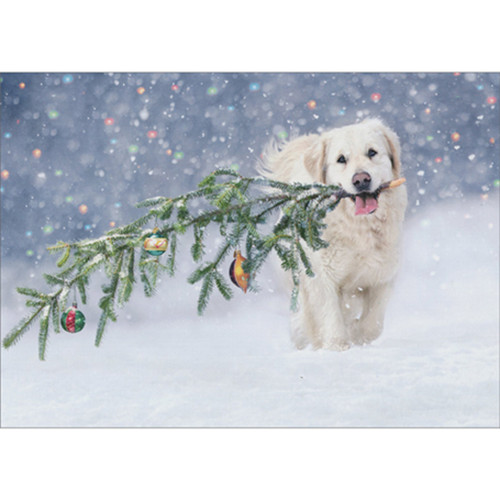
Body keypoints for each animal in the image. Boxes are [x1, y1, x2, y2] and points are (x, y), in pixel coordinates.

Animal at [260, 118, 408, 350]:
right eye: (341, 159)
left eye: (372, 152)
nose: (361, 180)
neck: (359, 228)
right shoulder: (320, 275)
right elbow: (330, 317)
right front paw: (337, 347)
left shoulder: (383, 273)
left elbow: (372, 323)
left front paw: (358, 336)